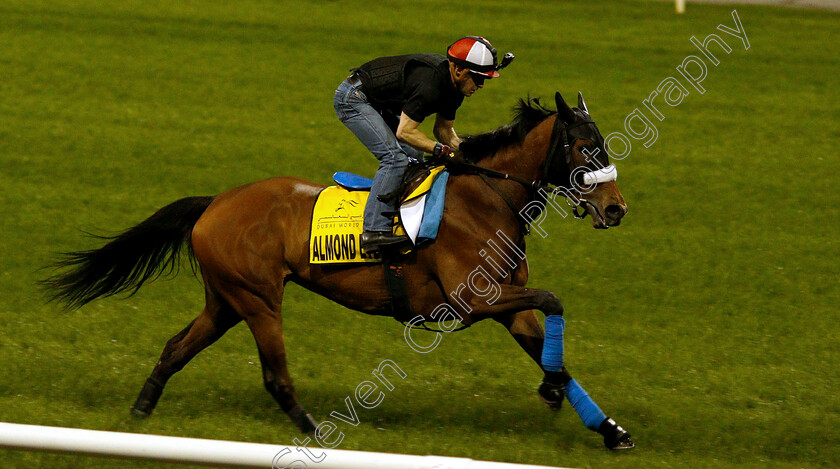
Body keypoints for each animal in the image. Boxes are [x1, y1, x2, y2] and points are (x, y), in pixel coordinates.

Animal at [41, 92, 632, 450]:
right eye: (585, 146)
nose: (617, 208)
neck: (487, 196)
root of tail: (215, 203)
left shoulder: (507, 304)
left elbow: (554, 350)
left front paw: (608, 428)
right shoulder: (473, 301)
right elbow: (554, 300)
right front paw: (551, 391)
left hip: (226, 300)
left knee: (176, 348)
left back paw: (140, 413)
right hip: (258, 299)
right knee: (274, 375)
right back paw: (311, 430)